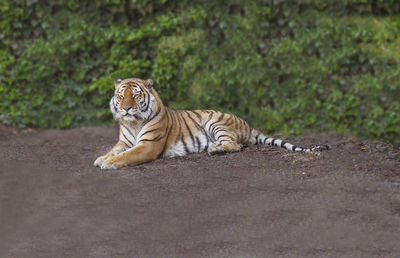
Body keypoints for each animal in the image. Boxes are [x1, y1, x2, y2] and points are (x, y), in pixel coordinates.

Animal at [93, 77, 328, 170]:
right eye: (121, 95)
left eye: (135, 95)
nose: (126, 108)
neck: (133, 123)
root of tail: (248, 125)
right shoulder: (124, 142)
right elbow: (114, 150)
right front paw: (101, 158)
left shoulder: (147, 146)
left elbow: (126, 156)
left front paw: (108, 163)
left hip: (214, 122)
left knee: (236, 145)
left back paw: (214, 149)